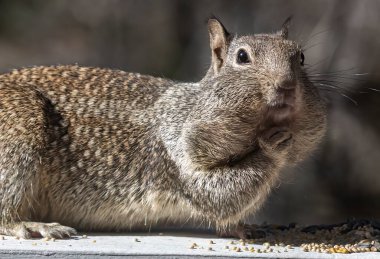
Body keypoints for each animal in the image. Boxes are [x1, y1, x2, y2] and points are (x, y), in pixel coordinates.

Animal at [0, 17, 326, 240]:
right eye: (242, 57)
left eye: (301, 57)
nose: (286, 85)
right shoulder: (178, 154)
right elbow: (221, 194)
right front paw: (272, 145)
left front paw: (248, 229)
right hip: (19, 136)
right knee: (5, 213)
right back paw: (33, 225)